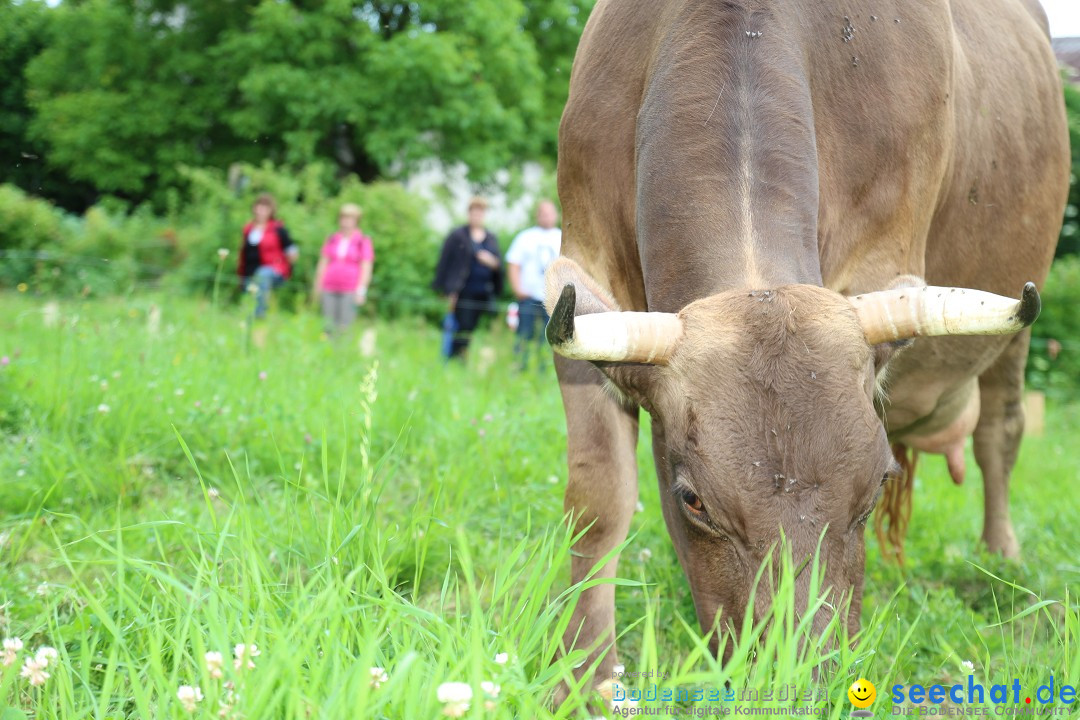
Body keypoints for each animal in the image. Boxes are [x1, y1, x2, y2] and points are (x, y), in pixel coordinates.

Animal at [548, 0, 1071, 690]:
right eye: (693, 500)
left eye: (875, 485)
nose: (795, 683)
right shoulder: (582, 273)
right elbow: (598, 500)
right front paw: (582, 677)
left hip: (1015, 332)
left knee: (1001, 432)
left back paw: (1002, 560)